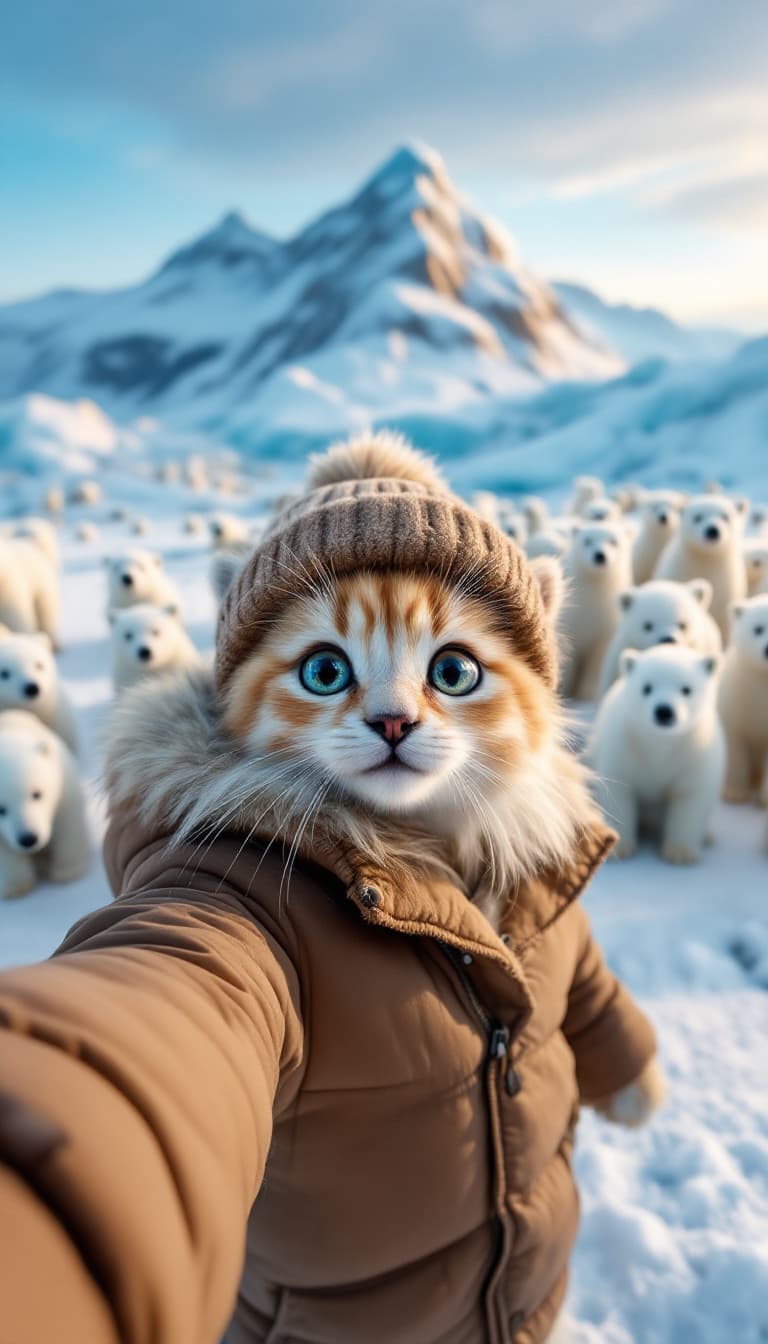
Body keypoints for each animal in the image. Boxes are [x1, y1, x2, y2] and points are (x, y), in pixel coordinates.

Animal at [0, 710, 90, 899]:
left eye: (37, 794)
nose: (28, 839)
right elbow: (5, 854)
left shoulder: (65, 789)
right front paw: (17, 888)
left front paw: (67, 872)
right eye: (0, 809)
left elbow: (68, 827)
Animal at [558, 522, 633, 700]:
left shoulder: (606, 623)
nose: (600, 555)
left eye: (613, 542)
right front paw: (565, 691)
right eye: (587, 540)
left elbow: (597, 660)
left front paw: (586, 693)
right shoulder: (570, 621)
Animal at [591, 645, 725, 863]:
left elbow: (689, 800)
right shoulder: (622, 746)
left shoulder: (694, 754)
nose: (664, 711)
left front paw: (680, 852)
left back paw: (707, 836)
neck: (659, 743)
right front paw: (621, 848)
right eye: (647, 687)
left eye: (686, 689)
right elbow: (619, 795)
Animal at [655, 493, 748, 639]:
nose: (712, 530)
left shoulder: (726, 587)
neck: (706, 560)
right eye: (697, 517)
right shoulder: (678, 571)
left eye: (725, 516)